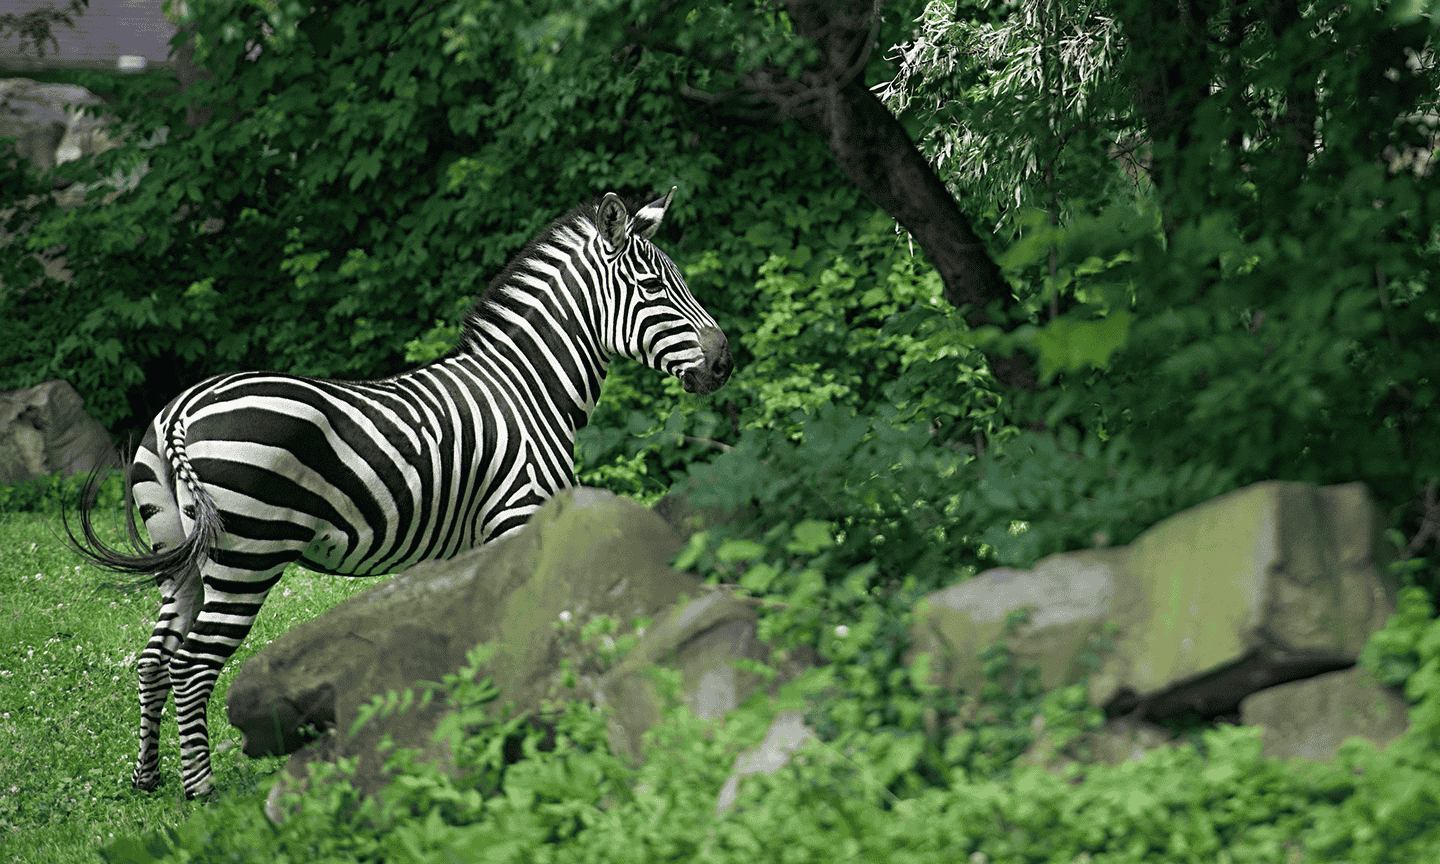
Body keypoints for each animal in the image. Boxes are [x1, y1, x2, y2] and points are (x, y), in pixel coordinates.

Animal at [66, 187, 732, 799]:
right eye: (653, 286)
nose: (725, 363)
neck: (528, 388)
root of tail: (182, 409)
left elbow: (470, 637)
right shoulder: (520, 516)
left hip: (179, 555)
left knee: (154, 659)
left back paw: (148, 777)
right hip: (246, 558)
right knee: (192, 664)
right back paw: (200, 794)